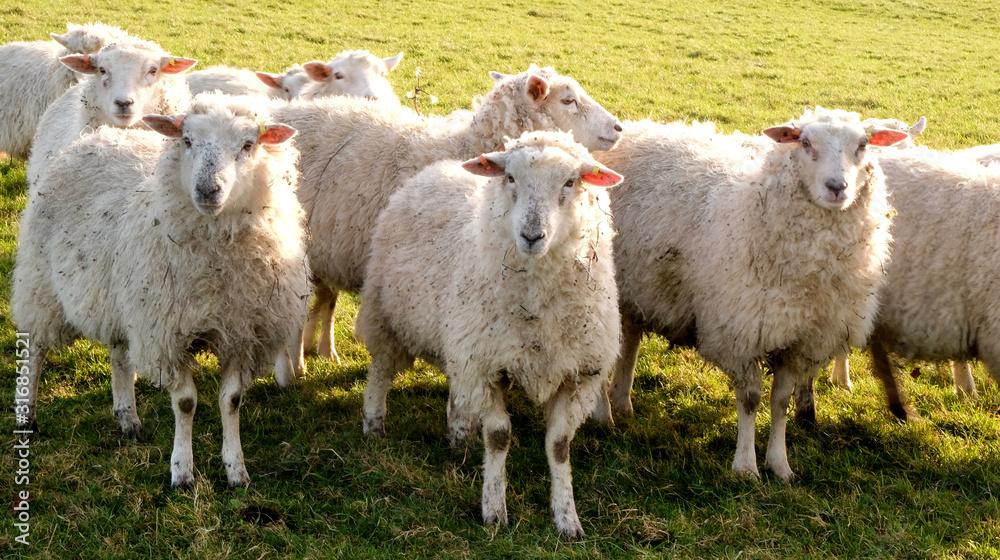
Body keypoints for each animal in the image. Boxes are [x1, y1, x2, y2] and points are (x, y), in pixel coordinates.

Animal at [11, 93, 309, 488]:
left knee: (119, 354)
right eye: (187, 140)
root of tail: (99, 136)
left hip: (124, 298)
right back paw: (26, 414)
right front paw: (182, 471)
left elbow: (231, 400)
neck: (217, 267)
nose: (207, 190)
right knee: (35, 347)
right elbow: (185, 403)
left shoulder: (241, 335)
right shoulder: (168, 334)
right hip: (41, 282)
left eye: (249, 144)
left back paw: (127, 416)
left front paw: (236, 470)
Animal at [355, 130, 623, 538]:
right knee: (381, 371)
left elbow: (559, 445)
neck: (538, 310)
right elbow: (498, 437)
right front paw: (494, 510)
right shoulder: (484, 366)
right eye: (510, 177)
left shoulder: (579, 374)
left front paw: (567, 518)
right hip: (387, 315)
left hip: (459, 339)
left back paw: (458, 434)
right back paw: (374, 425)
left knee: (454, 385)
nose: (531, 235)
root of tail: (440, 166)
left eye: (570, 181)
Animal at [593, 108, 908, 481]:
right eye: (805, 143)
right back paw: (603, 414)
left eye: (862, 145)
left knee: (630, 339)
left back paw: (622, 401)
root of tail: (639, 128)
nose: (836, 187)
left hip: (641, 286)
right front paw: (745, 467)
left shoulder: (802, 341)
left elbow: (781, 401)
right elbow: (751, 399)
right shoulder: (740, 333)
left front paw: (780, 465)